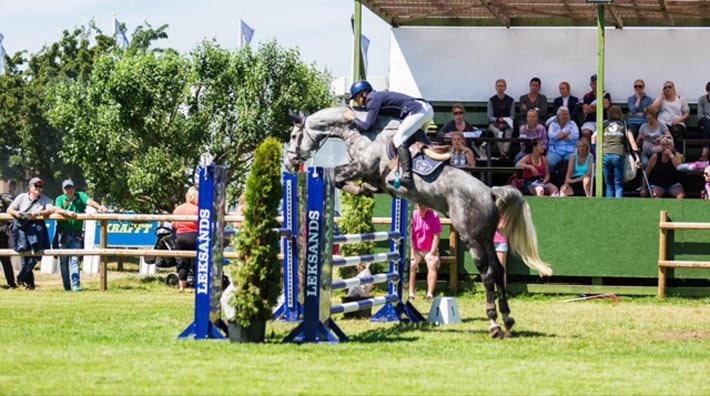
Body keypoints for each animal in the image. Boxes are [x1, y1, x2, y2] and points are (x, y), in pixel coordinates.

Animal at [286, 106, 552, 338]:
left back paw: (494, 324)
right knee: (497, 271)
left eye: (293, 136)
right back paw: (507, 320)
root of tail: (491, 192)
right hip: (486, 238)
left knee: (487, 274)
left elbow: (339, 176)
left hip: (472, 238)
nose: (289, 162)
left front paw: (357, 189)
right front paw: (364, 190)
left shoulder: (362, 167)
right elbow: (350, 180)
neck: (362, 131)